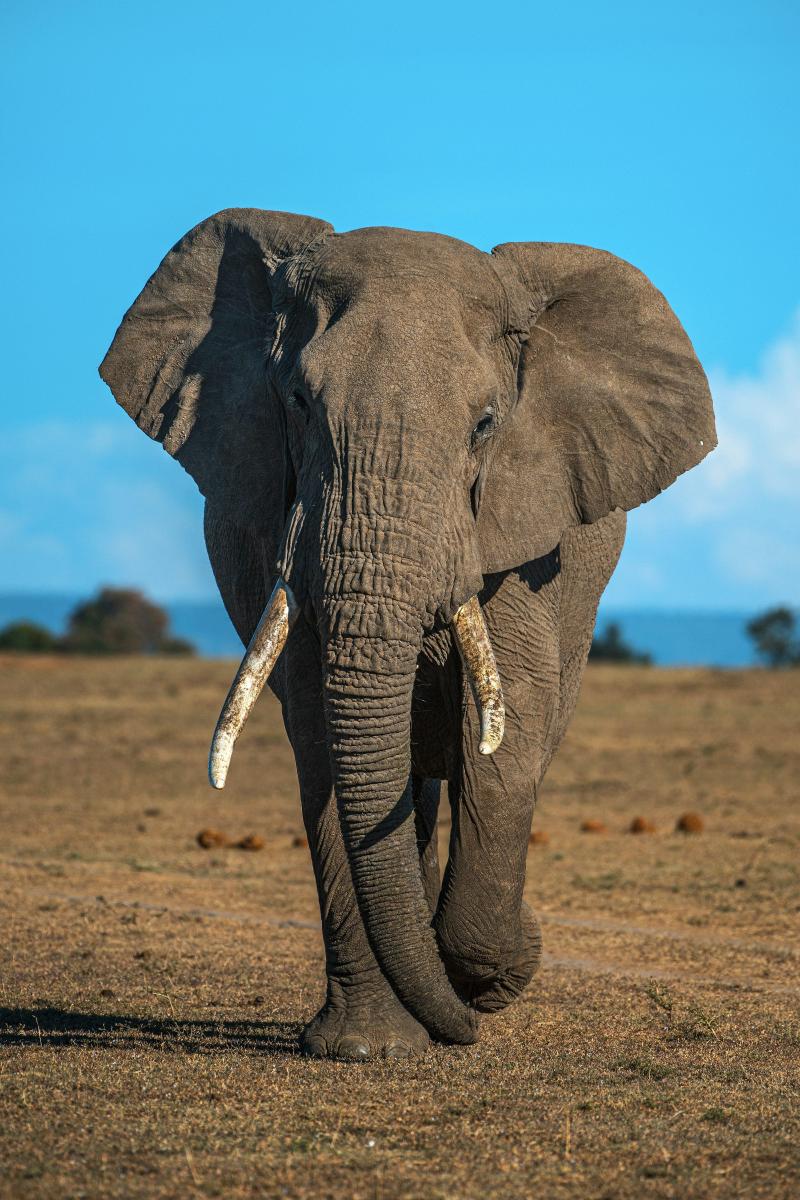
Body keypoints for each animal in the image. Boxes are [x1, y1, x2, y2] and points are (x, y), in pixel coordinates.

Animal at [100, 209, 716, 1060]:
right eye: (298, 402)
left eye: (486, 424)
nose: (468, 1026)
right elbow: (323, 734)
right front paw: (370, 1046)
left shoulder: (518, 534)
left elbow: (507, 727)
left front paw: (483, 977)